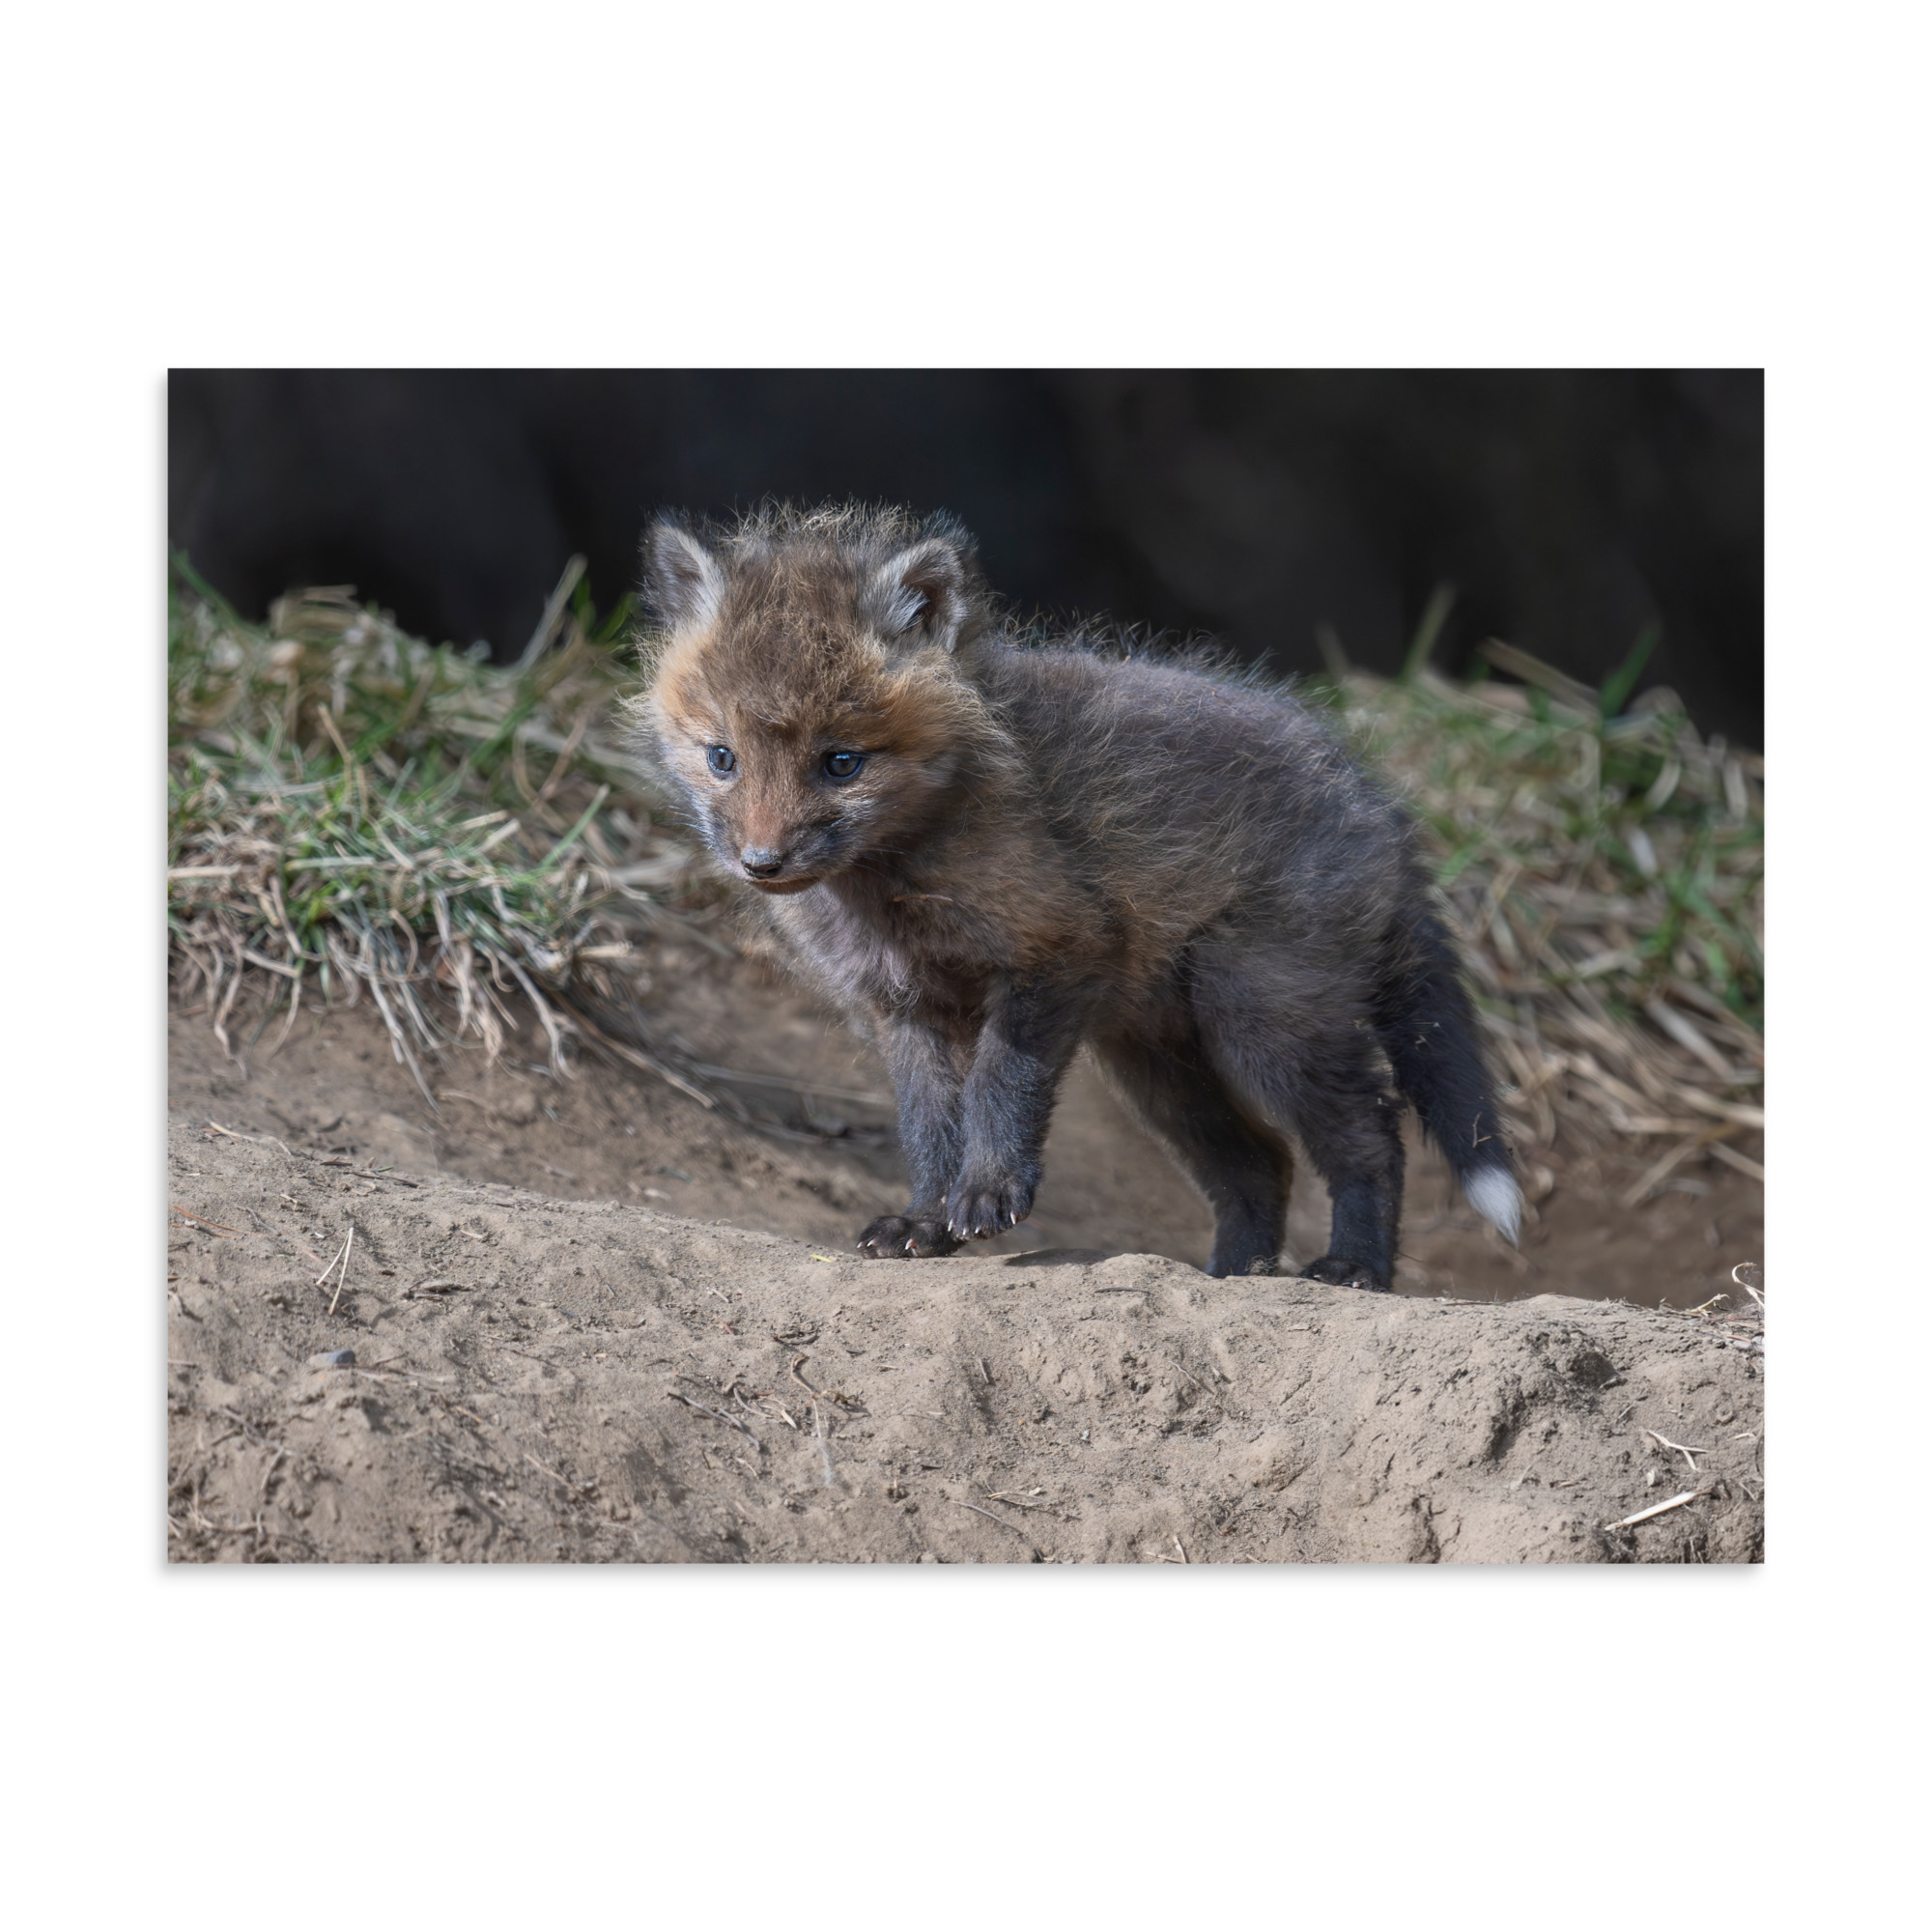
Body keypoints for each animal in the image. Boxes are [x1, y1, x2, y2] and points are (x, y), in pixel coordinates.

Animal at [627, 502, 1520, 1289]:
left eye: (841, 762)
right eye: (722, 757)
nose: (762, 863)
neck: (894, 886)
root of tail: (1380, 804)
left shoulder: (1057, 950)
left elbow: (999, 1084)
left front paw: (988, 1193)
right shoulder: (906, 1006)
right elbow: (927, 1127)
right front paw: (925, 1221)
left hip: (1262, 1018)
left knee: (1371, 1134)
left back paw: (1355, 1268)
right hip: (1159, 1063)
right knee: (1259, 1163)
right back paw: (1234, 1275)